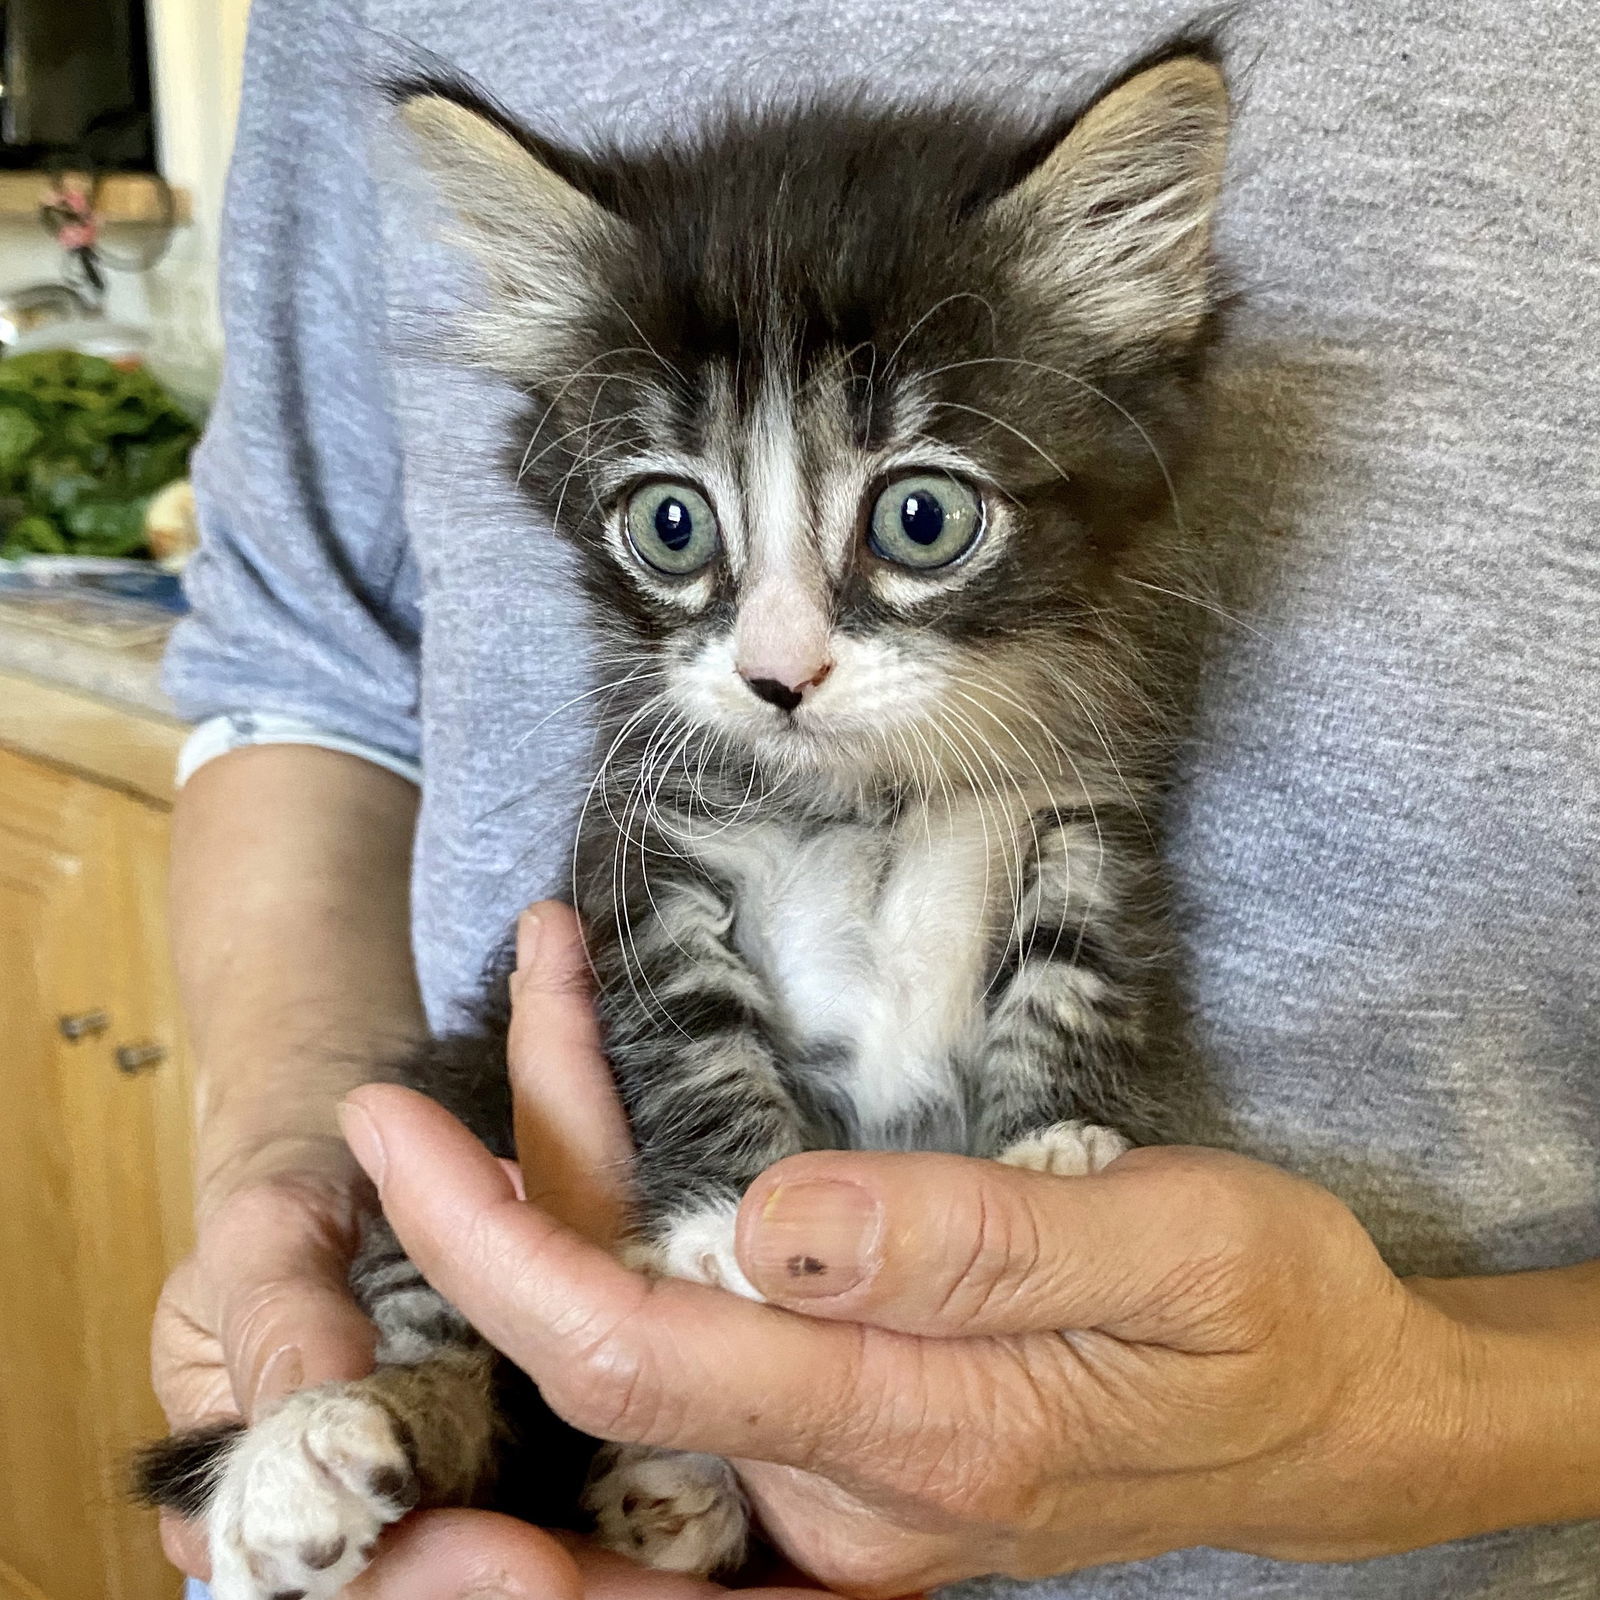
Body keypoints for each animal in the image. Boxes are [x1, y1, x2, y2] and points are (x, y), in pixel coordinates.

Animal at [137, 37, 1235, 1600]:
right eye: (672, 525)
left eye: (920, 519)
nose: (778, 675)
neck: (866, 790)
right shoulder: (635, 856)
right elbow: (687, 1025)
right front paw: (726, 1211)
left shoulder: (1083, 812)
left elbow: (1074, 973)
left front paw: (1057, 1138)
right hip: (459, 1082)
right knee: (448, 1355)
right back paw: (320, 1453)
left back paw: (674, 1490)